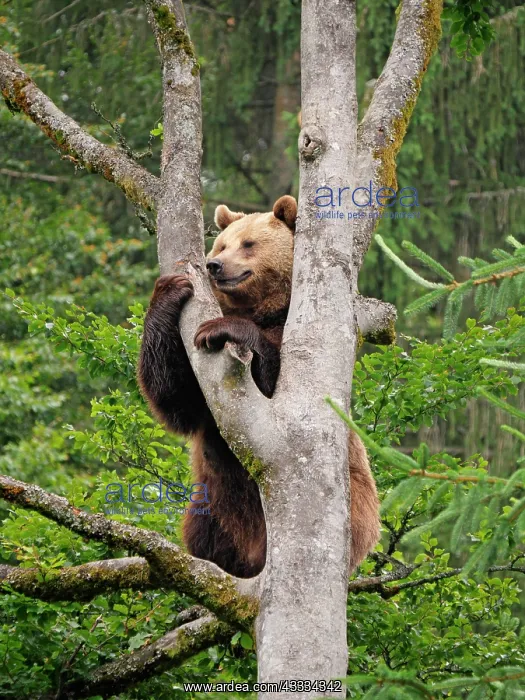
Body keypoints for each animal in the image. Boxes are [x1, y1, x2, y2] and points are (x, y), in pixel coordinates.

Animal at [138, 195, 380, 578]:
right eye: (222, 244)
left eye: (249, 244)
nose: (215, 265)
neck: (262, 310)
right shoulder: (201, 381)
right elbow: (177, 398)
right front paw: (171, 289)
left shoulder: (291, 340)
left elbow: (270, 382)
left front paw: (224, 329)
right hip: (213, 506)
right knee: (204, 530)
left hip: (354, 497)